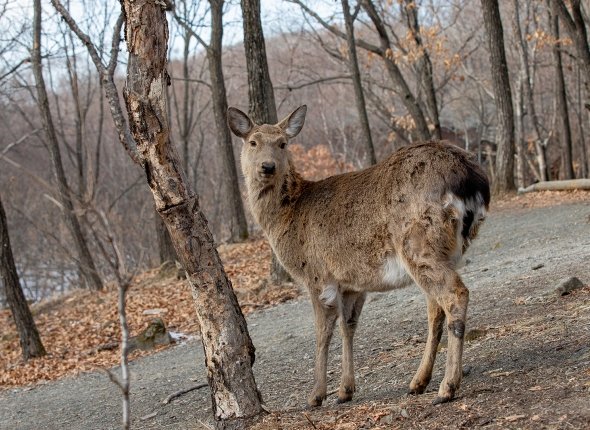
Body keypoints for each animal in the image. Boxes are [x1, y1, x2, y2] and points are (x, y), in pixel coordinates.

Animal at [227, 105, 490, 406]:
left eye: (282, 143)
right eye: (253, 142)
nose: (267, 166)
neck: (287, 216)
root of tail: (473, 180)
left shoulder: (317, 275)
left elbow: (322, 332)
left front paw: (316, 395)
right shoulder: (352, 282)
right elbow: (348, 327)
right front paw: (345, 390)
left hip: (418, 242)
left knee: (455, 294)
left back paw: (447, 387)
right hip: (443, 251)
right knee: (435, 307)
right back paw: (418, 382)